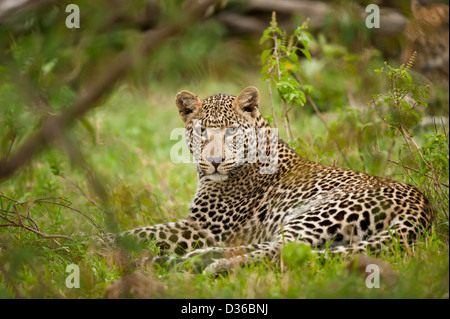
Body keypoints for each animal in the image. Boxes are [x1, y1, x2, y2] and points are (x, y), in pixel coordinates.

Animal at [109, 86, 432, 274]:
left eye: (231, 131)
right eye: (201, 132)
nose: (215, 161)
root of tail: (423, 208)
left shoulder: (205, 228)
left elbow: (144, 233)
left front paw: (100, 243)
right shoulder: (204, 228)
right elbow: (145, 231)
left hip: (318, 212)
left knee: (284, 251)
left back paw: (211, 266)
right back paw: (188, 261)